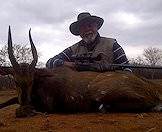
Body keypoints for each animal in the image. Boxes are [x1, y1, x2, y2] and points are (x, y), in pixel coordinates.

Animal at [0, 26, 161, 117]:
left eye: (31, 80)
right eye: (15, 81)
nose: (25, 101)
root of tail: (151, 87)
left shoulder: (48, 105)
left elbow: (19, 111)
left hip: (100, 92)